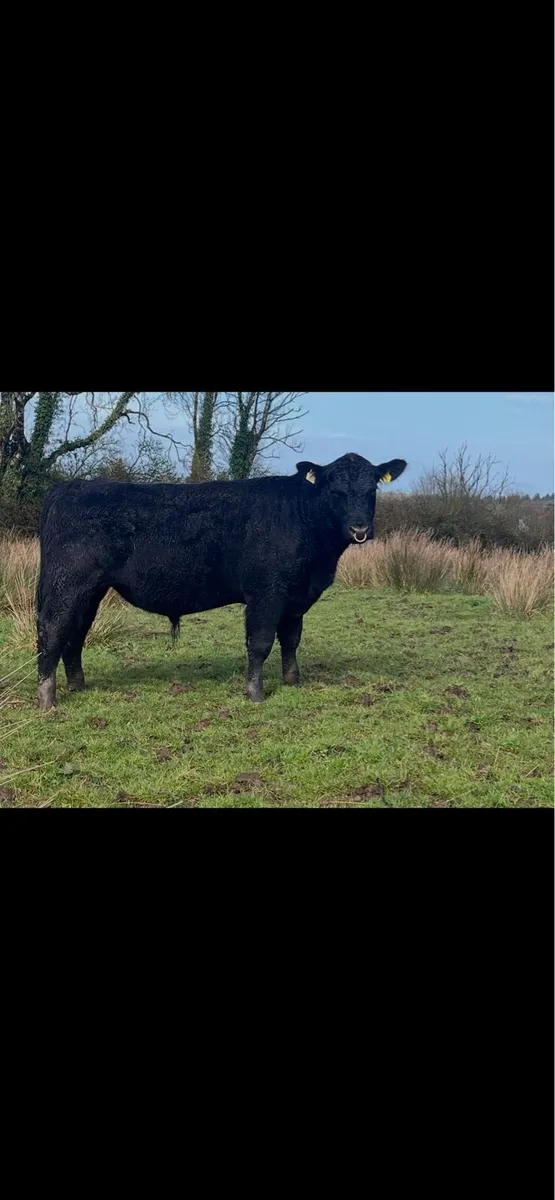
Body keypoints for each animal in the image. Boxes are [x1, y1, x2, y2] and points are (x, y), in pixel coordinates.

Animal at [36, 452, 407, 709]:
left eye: (371, 488)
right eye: (335, 489)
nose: (359, 529)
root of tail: (72, 486)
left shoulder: (296, 597)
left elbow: (291, 640)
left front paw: (292, 681)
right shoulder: (266, 592)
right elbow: (260, 642)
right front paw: (255, 693)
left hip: (90, 591)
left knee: (75, 634)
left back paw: (77, 685)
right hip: (68, 584)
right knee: (53, 630)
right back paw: (47, 699)